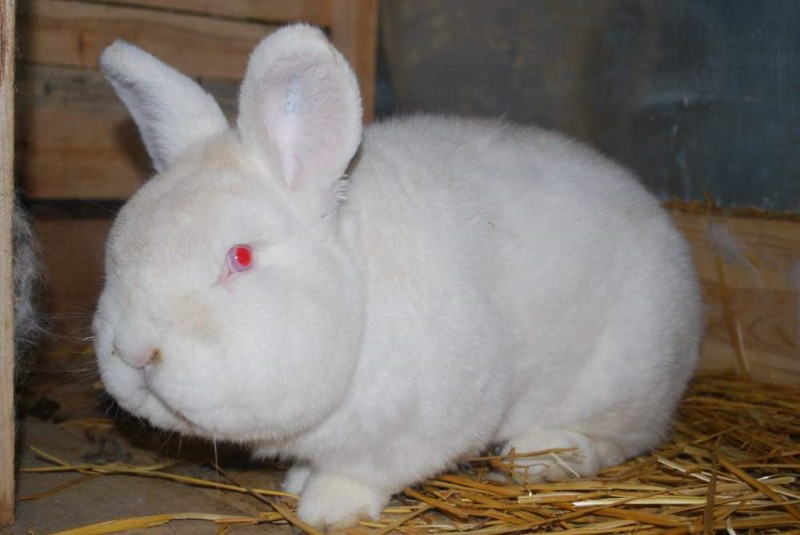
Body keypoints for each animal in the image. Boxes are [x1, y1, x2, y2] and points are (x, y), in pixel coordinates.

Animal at [97, 24, 704, 528]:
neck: (360, 294)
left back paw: (543, 457)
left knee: (618, 439)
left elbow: (363, 472)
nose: (134, 352)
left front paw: (325, 508)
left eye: (240, 257)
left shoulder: (419, 428)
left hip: (624, 383)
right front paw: (299, 479)